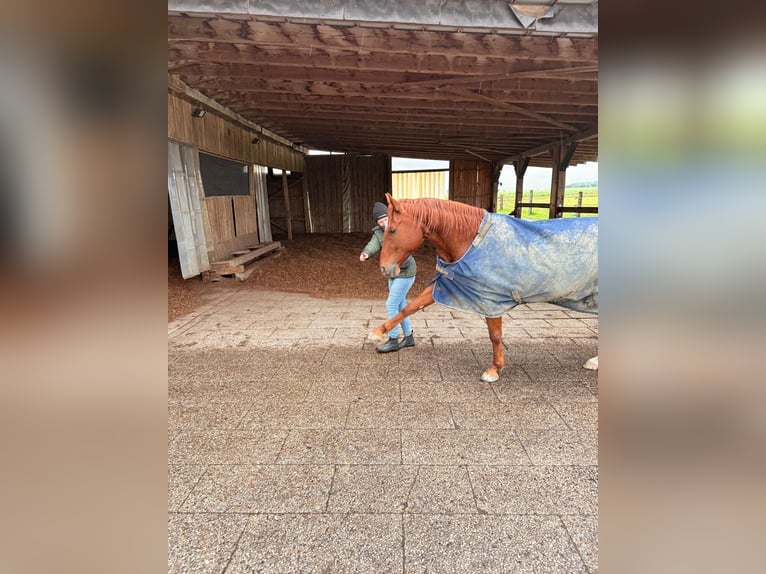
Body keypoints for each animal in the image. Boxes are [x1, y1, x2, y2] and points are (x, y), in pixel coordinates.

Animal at [368, 193, 598, 382]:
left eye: (392, 230)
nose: (385, 268)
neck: (470, 239)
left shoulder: (491, 299)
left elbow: (494, 335)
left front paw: (494, 369)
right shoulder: (445, 284)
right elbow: (410, 307)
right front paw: (378, 332)